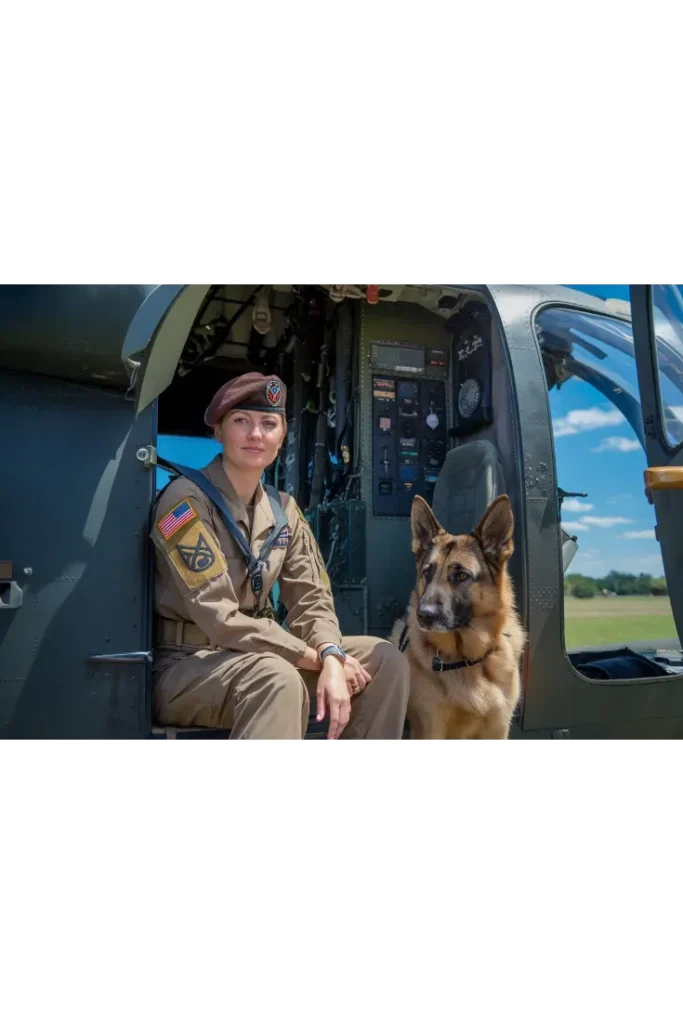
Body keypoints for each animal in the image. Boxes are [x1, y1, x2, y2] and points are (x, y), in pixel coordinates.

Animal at [387, 491, 528, 741]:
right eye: (427, 572)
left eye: (462, 575)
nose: (424, 615)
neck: (467, 659)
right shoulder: (431, 730)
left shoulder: (498, 731)